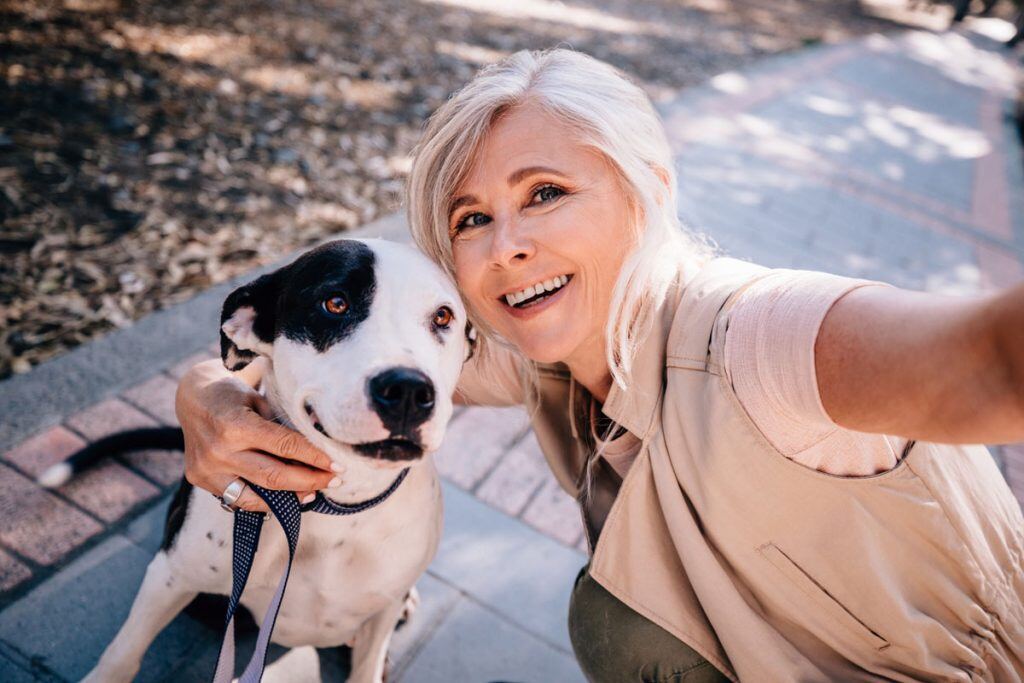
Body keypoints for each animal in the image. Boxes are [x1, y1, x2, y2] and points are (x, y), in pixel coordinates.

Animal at [44, 237, 468, 679]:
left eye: (443, 316)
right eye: (335, 303)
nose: (408, 390)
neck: (336, 506)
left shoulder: (381, 611)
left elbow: (366, 666)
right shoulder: (171, 575)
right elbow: (123, 653)